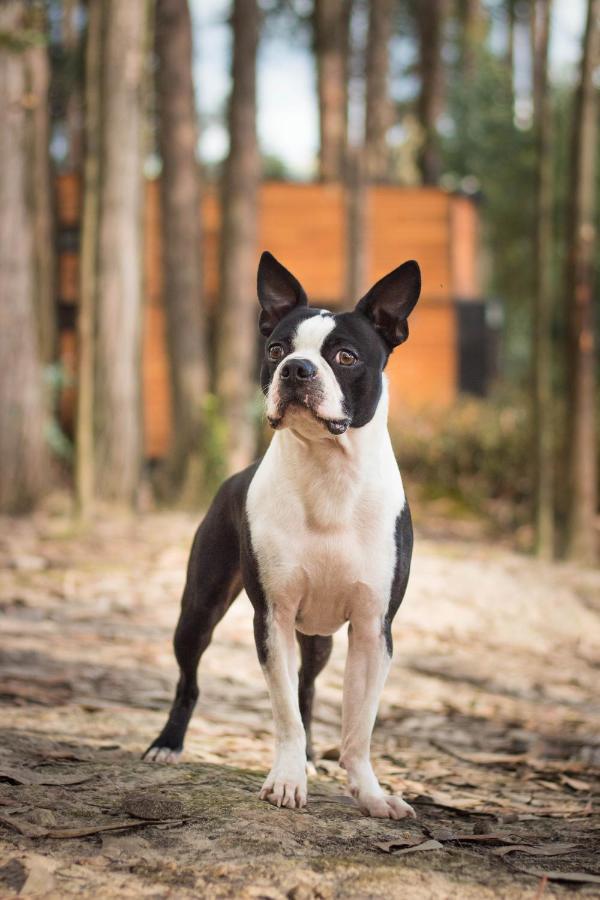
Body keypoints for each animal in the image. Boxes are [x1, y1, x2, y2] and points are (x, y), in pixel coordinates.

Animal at [144, 250, 422, 820]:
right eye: (275, 350)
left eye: (345, 356)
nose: (297, 368)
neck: (329, 474)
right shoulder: (272, 617)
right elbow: (284, 712)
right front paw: (288, 780)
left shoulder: (373, 630)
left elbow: (358, 726)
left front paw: (370, 793)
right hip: (199, 609)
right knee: (190, 679)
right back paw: (168, 744)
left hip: (319, 638)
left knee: (310, 688)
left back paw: (316, 756)